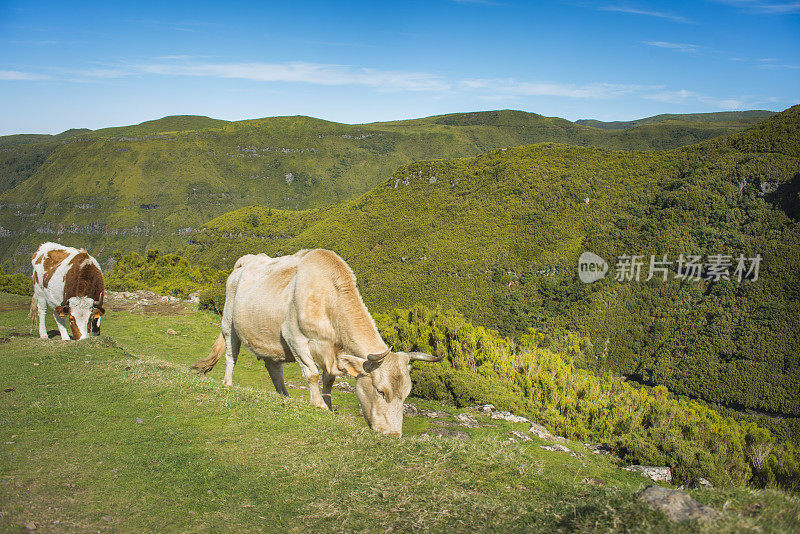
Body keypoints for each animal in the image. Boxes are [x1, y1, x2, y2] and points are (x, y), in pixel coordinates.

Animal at [192, 249, 444, 438]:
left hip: (270, 338)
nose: (393, 434)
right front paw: (318, 405)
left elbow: (329, 380)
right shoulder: (294, 337)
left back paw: (284, 396)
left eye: (406, 393)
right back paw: (228, 383)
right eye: (381, 391)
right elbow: (312, 373)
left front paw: (329, 406)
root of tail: (245, 261)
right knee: (231, 356)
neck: (328, 298)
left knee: (274, 367)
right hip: (229, 323)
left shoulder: (332, 352)